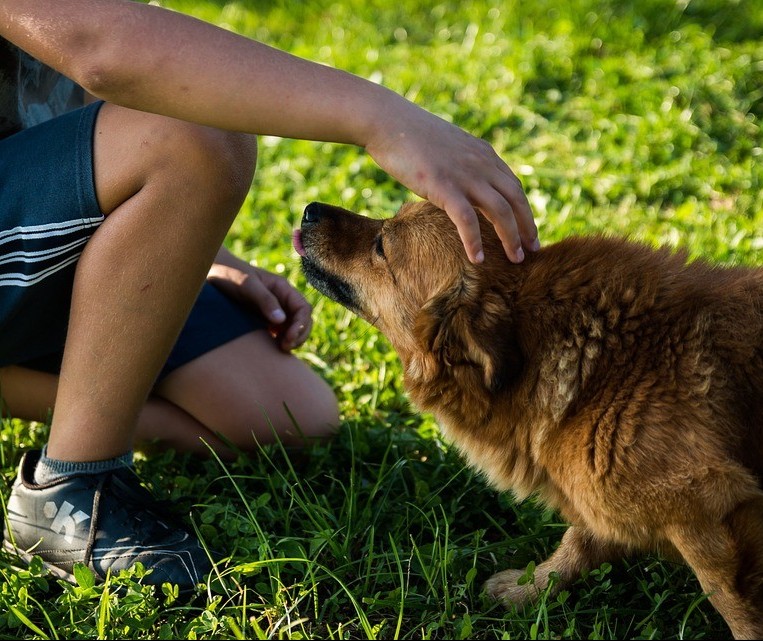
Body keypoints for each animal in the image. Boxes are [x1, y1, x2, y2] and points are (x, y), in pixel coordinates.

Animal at [296, 199, 763, 636]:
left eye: (382, 245)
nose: (309, 210)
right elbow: (578, 542)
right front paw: (531, 588)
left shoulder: (706, 508)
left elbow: (730, 601)